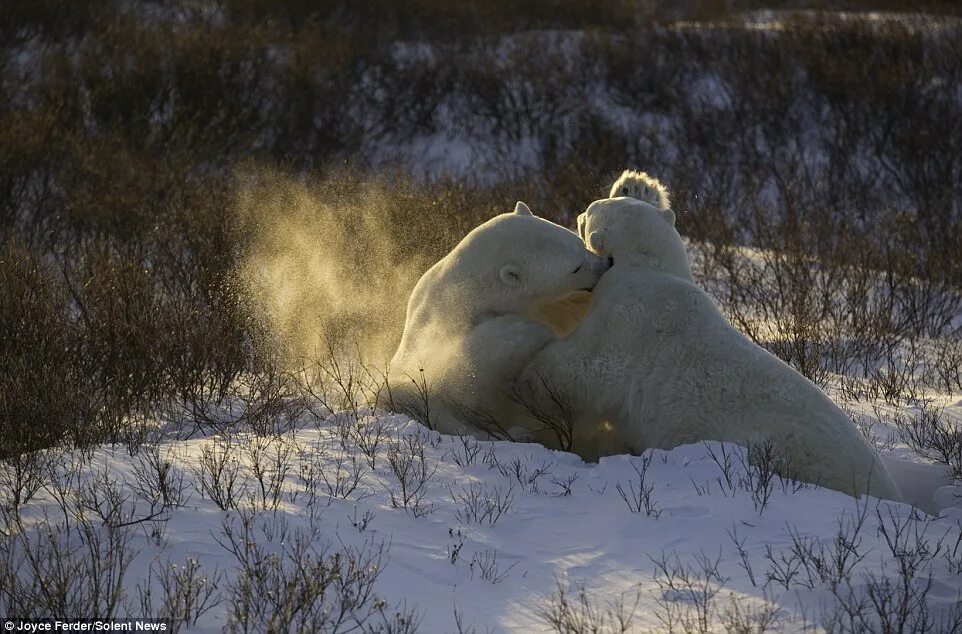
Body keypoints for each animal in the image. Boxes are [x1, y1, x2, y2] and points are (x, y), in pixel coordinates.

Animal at [382, 202, 608, 440]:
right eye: (575, 268)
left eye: (580, 243)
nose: (606, 263)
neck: (472, 290)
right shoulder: (450, 328)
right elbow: (469, 370)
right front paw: (536, 332)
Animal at [520, 184, 896, 498]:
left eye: (591, 211)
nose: (581, 213)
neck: (648, 268)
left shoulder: (627, 322)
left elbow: (580, 369)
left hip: (790, 453)